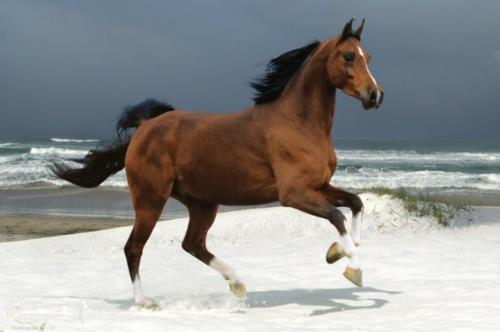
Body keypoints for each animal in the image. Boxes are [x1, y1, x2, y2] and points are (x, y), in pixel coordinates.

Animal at [51, 18, 382, 308]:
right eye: (349, 56)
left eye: (368, 57)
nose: (375, 95)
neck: (299, 122)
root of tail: (145, 127)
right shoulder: (293, 194)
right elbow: (336, 216)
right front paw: (353, 268)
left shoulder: (319, 185)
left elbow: (355, 203)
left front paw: (339, 250)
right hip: (150, 201)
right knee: (134, 247)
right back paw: (144, 302)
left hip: (202, 203)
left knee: (192, 244)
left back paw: (237, 283)